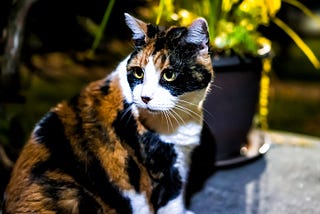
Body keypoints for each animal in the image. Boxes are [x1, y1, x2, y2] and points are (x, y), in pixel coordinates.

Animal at [3, 13, 214, 214]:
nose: (145, 97)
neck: (181, 117)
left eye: (169, 75)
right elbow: (173, 202)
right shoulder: (163, 167)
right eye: (138, 73)